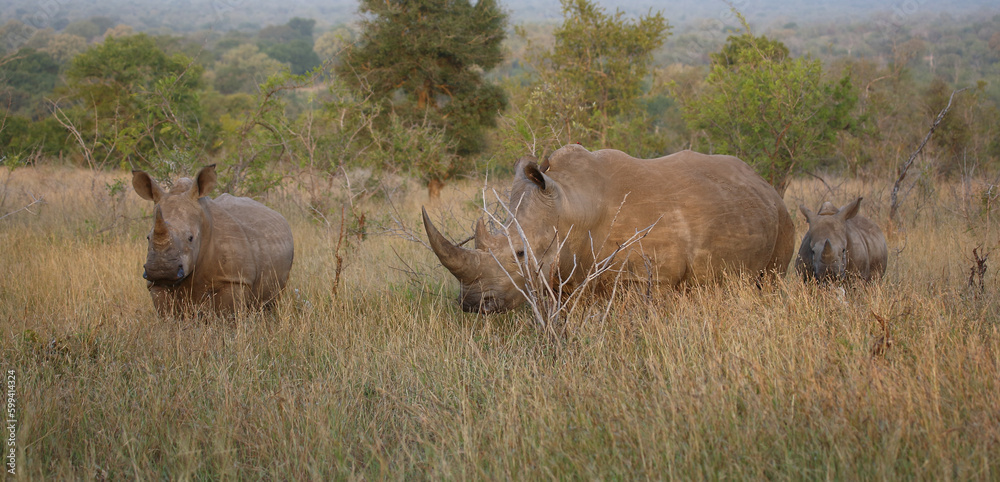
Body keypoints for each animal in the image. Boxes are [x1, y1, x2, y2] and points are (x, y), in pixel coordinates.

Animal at [132, 165, 294, 315]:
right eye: (148, 237)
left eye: (190, 238)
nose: (161, 270)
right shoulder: (155, 285)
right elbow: (167, 314)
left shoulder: (233, 279)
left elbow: (227, 315)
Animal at [423, 144, 795, 313]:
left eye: (519, 253)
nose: (472, 304)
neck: (572, 206)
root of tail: (762, 182)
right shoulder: (570, 273)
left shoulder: (651, 279)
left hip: (783, 218)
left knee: (772, 278)